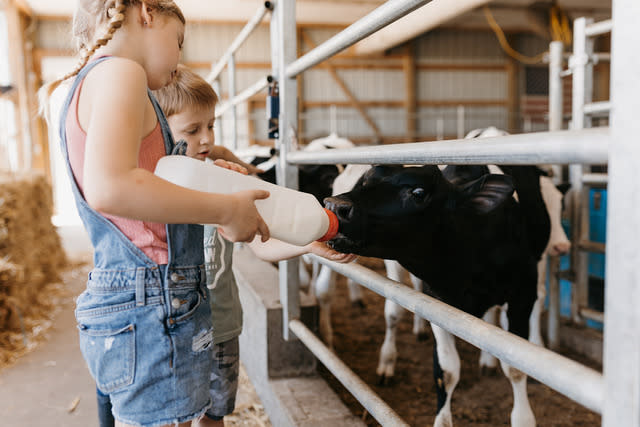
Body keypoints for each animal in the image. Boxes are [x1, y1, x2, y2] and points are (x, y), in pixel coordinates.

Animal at [324, 163, 549, 427]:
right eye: (366, 181)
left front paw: (523, 418)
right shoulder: (438, 304)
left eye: (419, 193)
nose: (334, 205)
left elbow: (516, 365)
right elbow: (446, 371)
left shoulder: (522, 295)